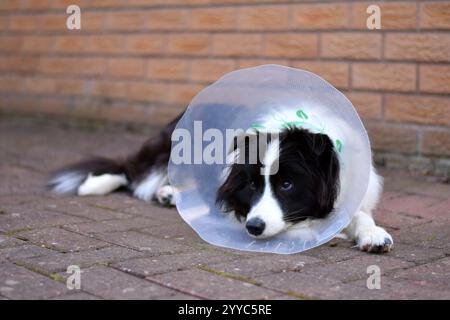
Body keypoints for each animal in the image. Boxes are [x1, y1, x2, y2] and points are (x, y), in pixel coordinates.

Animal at [50, 111, 394, 254]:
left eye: (286, 185)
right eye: (253, 185)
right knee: (131, 171)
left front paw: (373, 234)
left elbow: (359, 214)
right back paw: (95, 185)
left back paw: (169, 194)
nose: (254, 227)